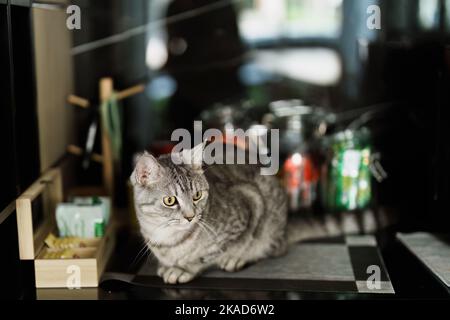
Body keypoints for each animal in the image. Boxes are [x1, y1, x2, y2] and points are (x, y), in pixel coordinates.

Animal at [131, 144, 394, 284]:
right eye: (170, 201)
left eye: (197, 196)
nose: (190, 216)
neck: (168, 240)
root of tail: (285, 227)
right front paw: (168, 265)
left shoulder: (250, 205)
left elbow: (207, 255)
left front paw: (184, 268)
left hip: (269, 224)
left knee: (270, 247)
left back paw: (238, 258)